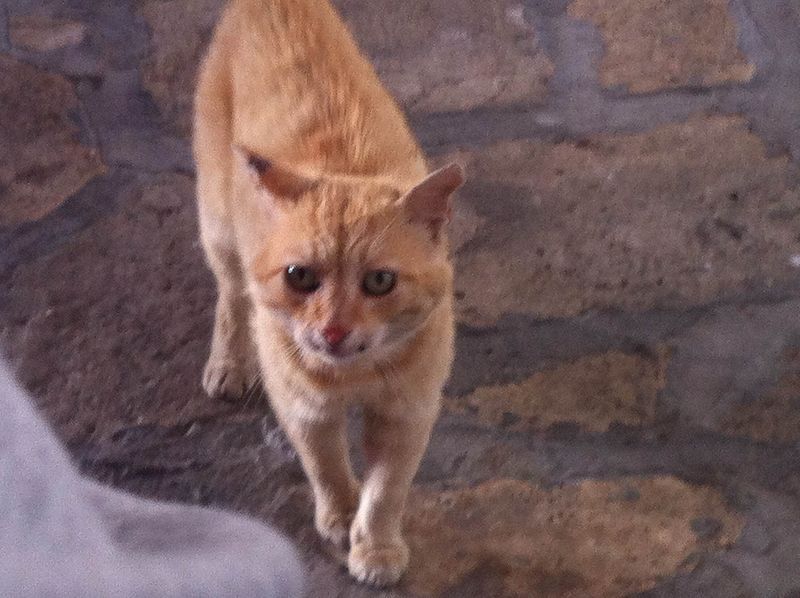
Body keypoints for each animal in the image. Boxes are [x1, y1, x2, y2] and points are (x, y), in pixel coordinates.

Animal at [195, 0, 466, 584]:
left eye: (380, 281)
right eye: (300, 276)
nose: (333, 329)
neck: (355, 376)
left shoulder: (409, 412)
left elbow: (386, 490)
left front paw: (377, 547)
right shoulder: (303, 407)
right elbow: (326, 466)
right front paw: (341, 517)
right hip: (219, 228)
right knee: (231, 295)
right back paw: (229, 362)